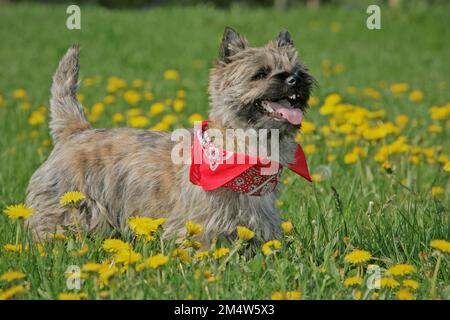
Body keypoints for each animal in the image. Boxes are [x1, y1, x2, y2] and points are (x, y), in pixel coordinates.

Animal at [24, 28, 312, 248]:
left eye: (297, 68)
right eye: (260, 73)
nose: (295, 79)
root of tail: (75, 130)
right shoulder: (199, 226)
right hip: (66, 207)